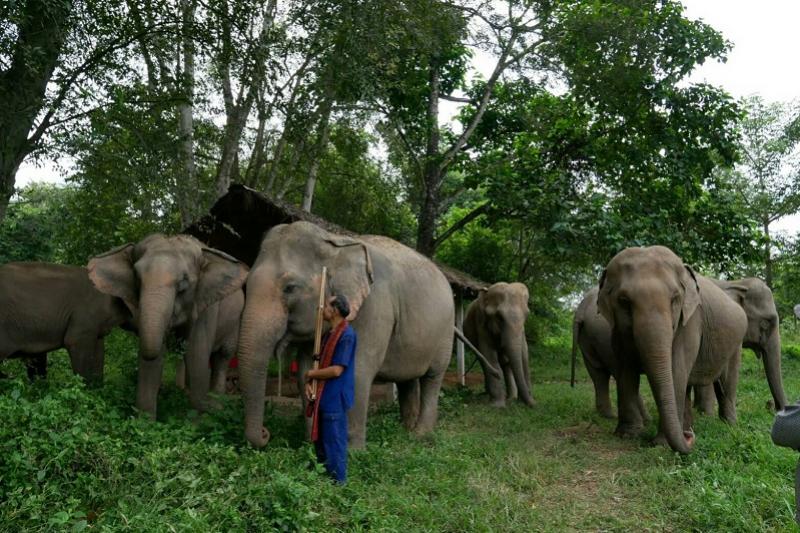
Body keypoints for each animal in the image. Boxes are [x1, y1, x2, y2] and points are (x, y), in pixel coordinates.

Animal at [88, 234, 248, 417]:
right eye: (136, 277)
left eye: (184, 282)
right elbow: (154, 361)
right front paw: (145, 421)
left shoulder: (206, 304)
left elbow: (197, 353)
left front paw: (199, 419)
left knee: (222, 356)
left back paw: (218, 405)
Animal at [237, 221, 457, 449]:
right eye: (245, 285)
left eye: (290, 288)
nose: (265, 434)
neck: (334, 244)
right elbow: (306, 370)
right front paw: (312, 445)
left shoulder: (374, 307)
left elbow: (357, 369)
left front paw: (352, 452)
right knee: (407, 379)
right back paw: (406, 430)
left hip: (445, 331)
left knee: (432, 377)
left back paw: (420, 435)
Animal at [597, 245, 747, 454]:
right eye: (624, 301)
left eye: (675, 298)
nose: (690, 437)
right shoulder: (618, 329)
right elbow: (626, 370)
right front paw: (626, 435)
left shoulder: (690, 321)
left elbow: (676, 370)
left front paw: (661, 444)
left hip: (736, 343)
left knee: (727, 383)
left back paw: (728, 426)